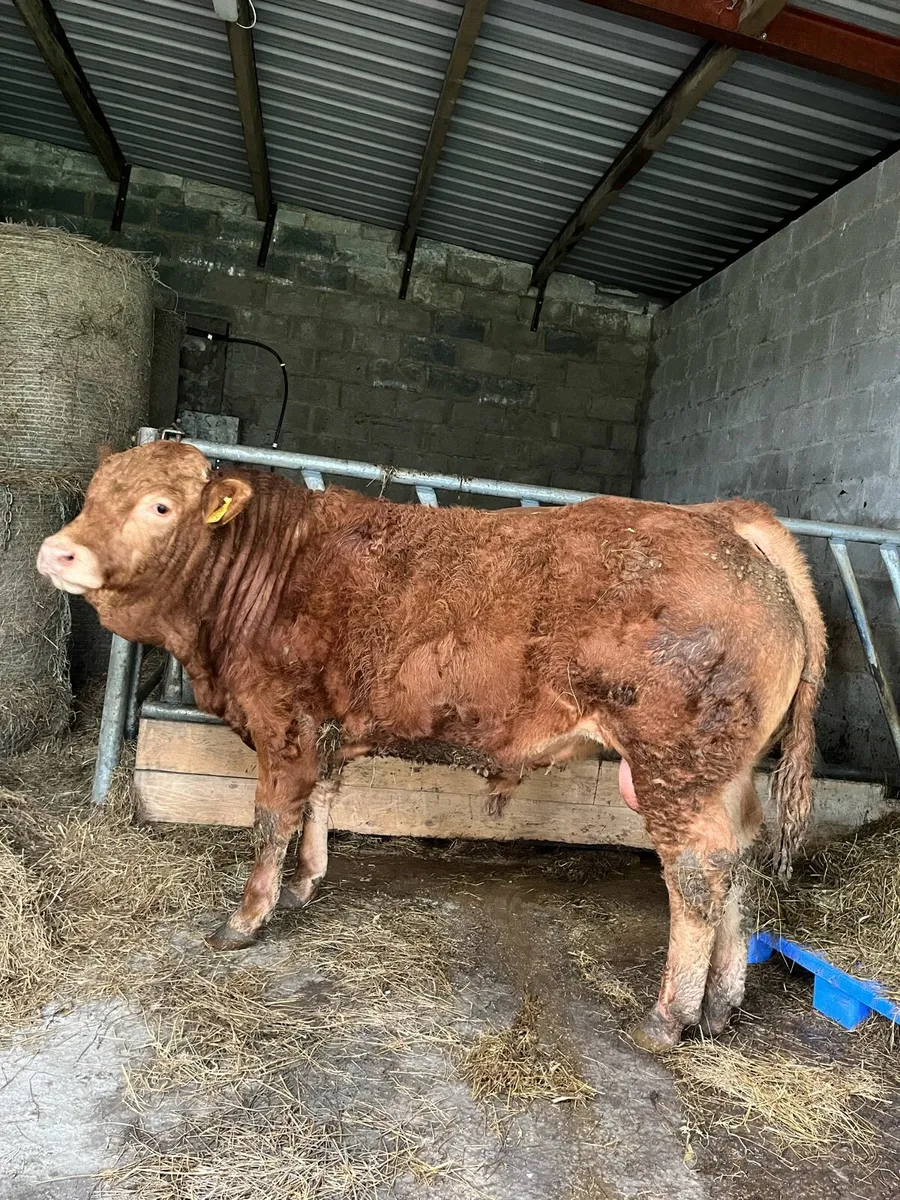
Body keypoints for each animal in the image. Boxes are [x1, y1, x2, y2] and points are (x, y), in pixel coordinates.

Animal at [36, 440, 825, 1053]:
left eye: (160, 507)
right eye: (92, 494)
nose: (58, 551)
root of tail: (721, 520)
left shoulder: (281, 719)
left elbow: (270, 820)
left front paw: (247, 917)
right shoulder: (324, 725)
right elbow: (321, 800)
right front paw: (305, 883)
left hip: (674, 764)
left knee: (697, 875)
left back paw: (668, 1018)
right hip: (727, 769)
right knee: (741, 859)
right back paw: (720, 1006)